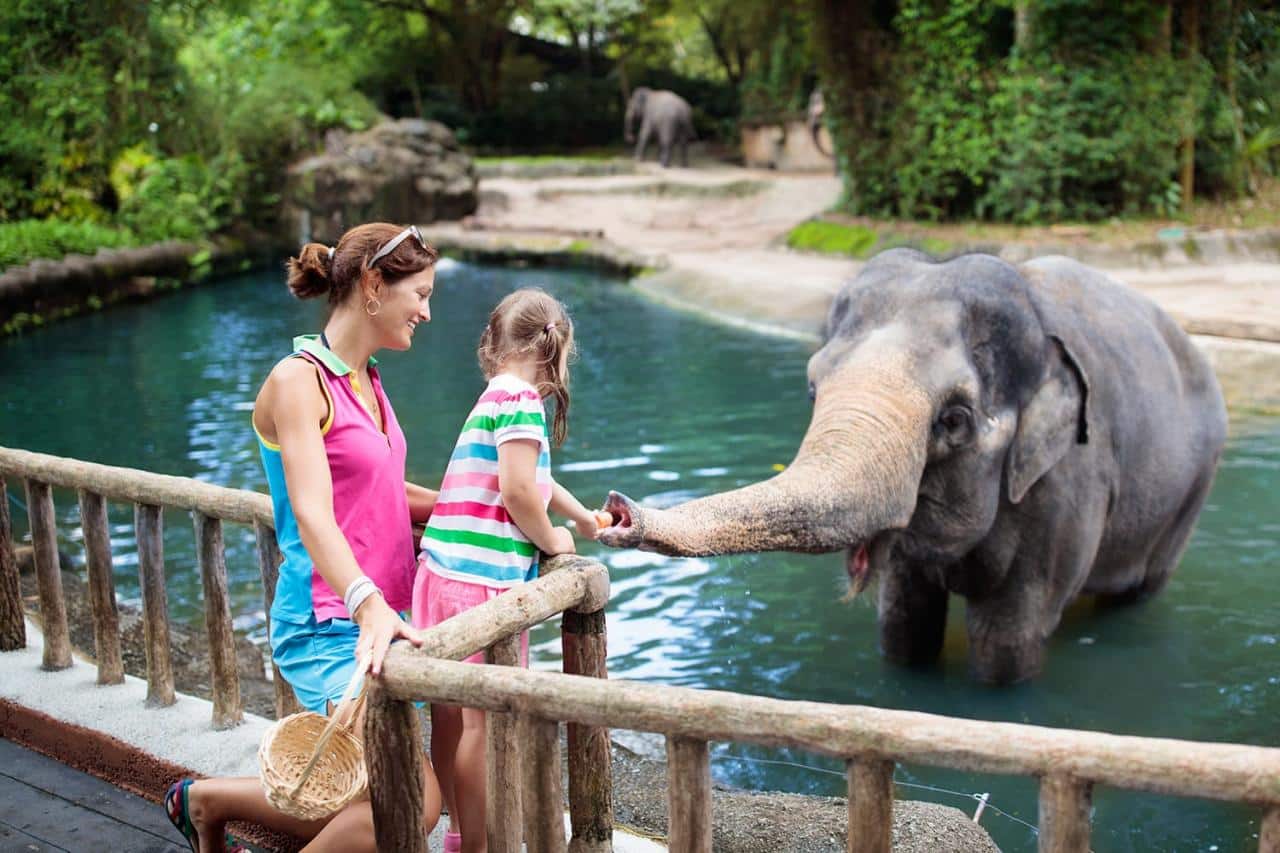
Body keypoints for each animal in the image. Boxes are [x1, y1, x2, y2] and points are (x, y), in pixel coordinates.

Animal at [601, 249, 1228, 681]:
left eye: (954, 419)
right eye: (812, 388)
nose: (617, 510)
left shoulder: (1068, 485)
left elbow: (1007, 639)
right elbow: (903, 623)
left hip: (1193, 488)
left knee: (1141, 589)